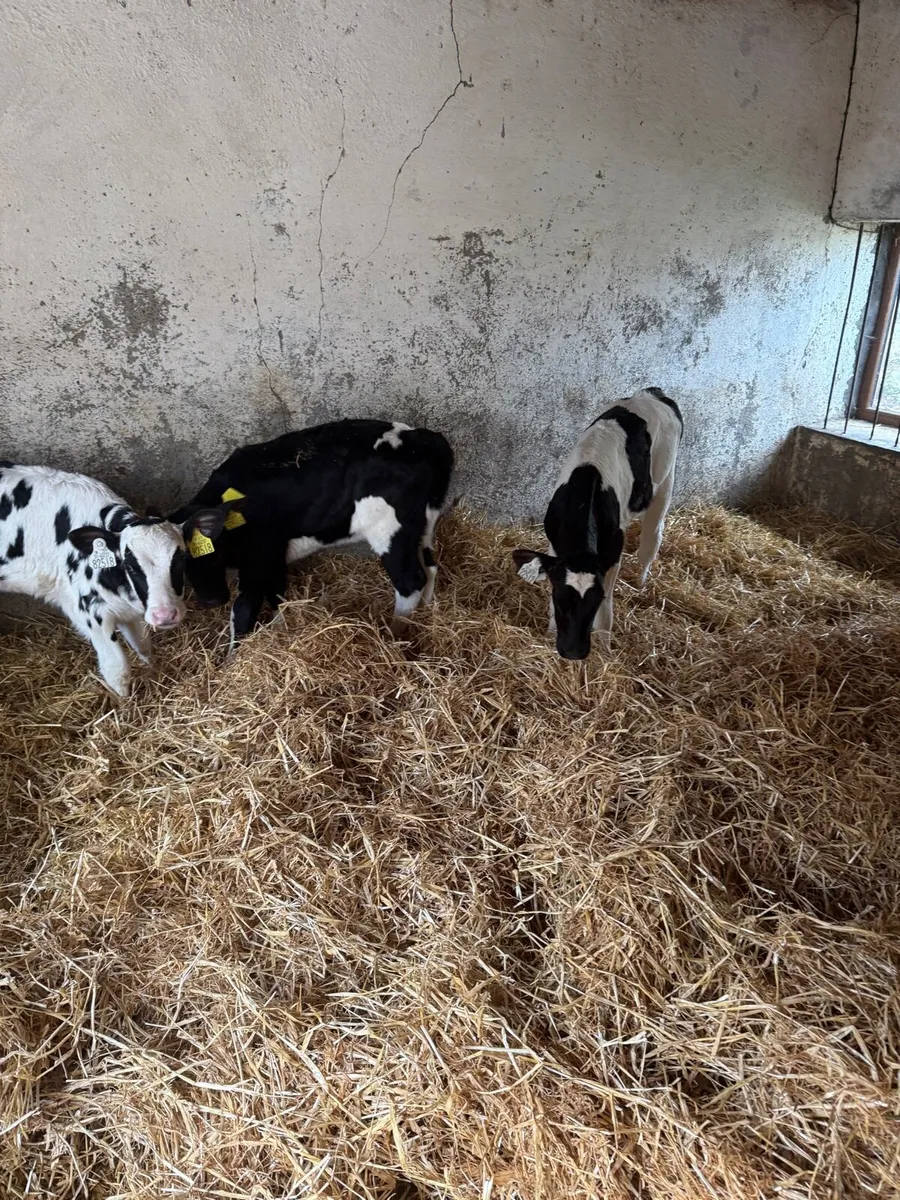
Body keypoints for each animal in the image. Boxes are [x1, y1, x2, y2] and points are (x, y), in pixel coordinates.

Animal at [0, 462, 228, 697]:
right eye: (129, 565)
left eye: (182, 558)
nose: (164, 615)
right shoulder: (89, 611)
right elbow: (118, 670)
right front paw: (126, 703)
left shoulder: (130, 610)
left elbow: (143, 646)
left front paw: (153, 672)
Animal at [169, 419, 454, 642]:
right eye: (181, 562)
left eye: (211, 549)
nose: (210, 601)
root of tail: (418, 437)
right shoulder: (274, 559)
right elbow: (277, 597)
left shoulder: (261, 555)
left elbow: (243, 611)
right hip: (423, 526)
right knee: (430, 567)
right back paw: (424, 617)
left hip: (391, 529)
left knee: (410, 579)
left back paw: (394, 635)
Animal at [512, 387, 683, 660]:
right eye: (559, 598)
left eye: (596, 601)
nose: (573, 651)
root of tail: (652, 393)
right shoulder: (555, 545)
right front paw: (550, 632)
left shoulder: (611, 557)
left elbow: (607, 613)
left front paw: (605, 649)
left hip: (665, 480)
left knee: (652, 538)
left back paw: (641, 582)